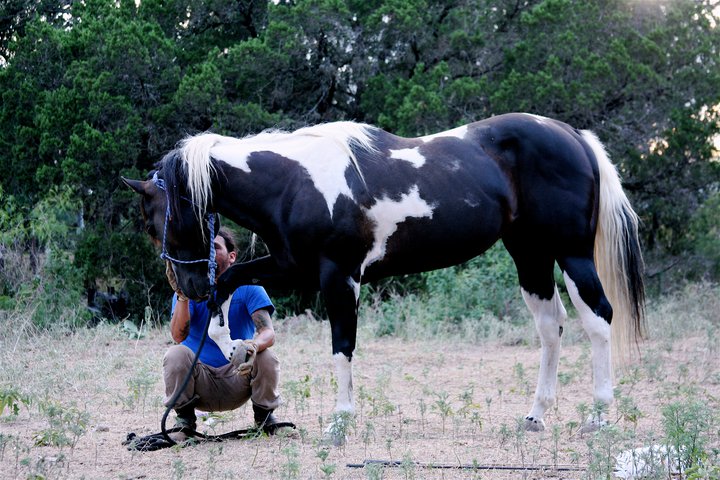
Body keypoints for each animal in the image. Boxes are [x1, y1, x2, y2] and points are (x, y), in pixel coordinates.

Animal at [121, 114, 644, 436]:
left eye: (152, 221)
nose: (188, 288)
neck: (294, 183)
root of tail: (574, 136)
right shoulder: (291, 265)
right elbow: (231, 286)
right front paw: (232, 345)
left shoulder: (338, 276)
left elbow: (341, 347)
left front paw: (340, 424)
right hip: (530, 254)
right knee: (551, 328)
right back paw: (535, 417)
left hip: (571, 253)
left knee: (598, 319)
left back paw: (599, 416)